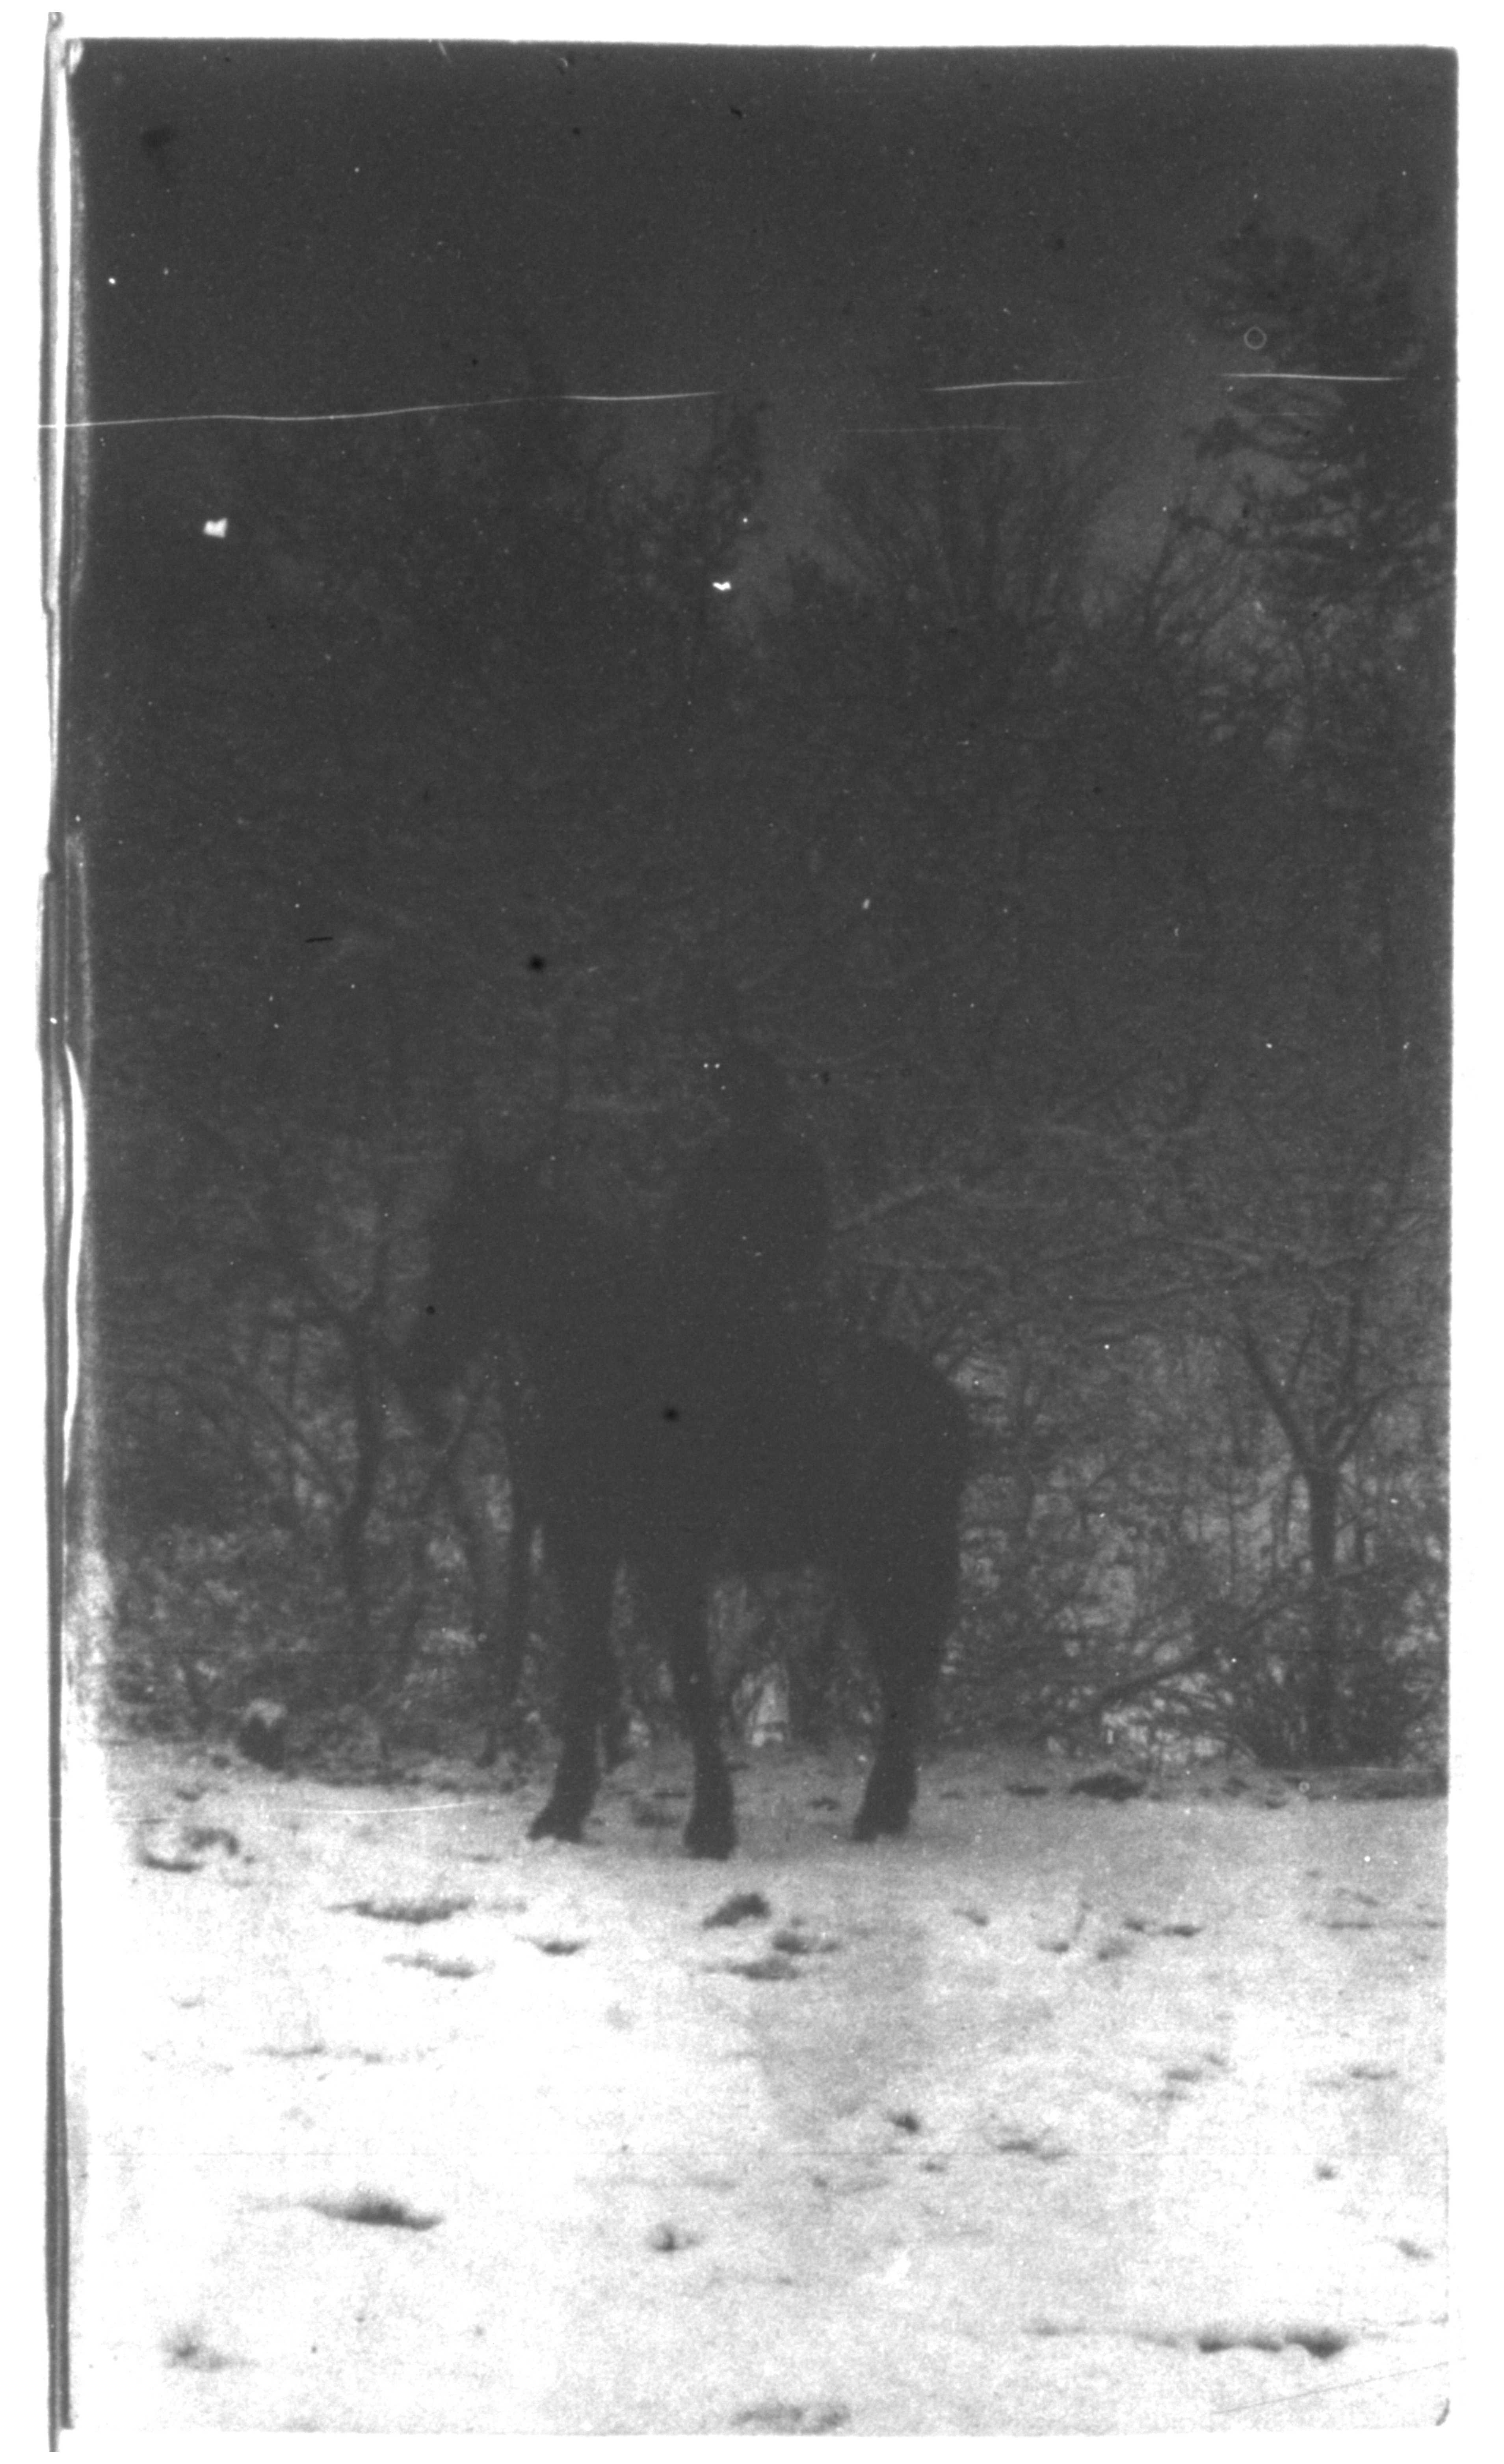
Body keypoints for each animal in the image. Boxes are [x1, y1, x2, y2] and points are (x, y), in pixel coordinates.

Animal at [406, 1142, 970, 1858]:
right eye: (439, 1235)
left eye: (480, 1243)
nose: (416, 1364)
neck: (620, 1375)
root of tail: (946, 1404)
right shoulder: (581, 1549)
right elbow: (584, 1672)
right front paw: (564, 1811)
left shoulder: (673, 1559)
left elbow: (692, 1681)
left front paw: (710, 1825)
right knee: (904, 1672)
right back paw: (888, 1808)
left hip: (891, 1561)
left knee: (904, 1673)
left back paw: (876, 1813)